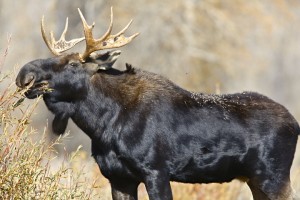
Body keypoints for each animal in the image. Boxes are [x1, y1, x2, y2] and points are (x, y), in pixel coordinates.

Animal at [15, 7, 300, 200]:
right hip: (256, 179)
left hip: (274, 176)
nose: (24, 74)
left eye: (74, 64)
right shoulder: (118, 178)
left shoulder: (156, 171)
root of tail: (295, 124)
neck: (102, 125)